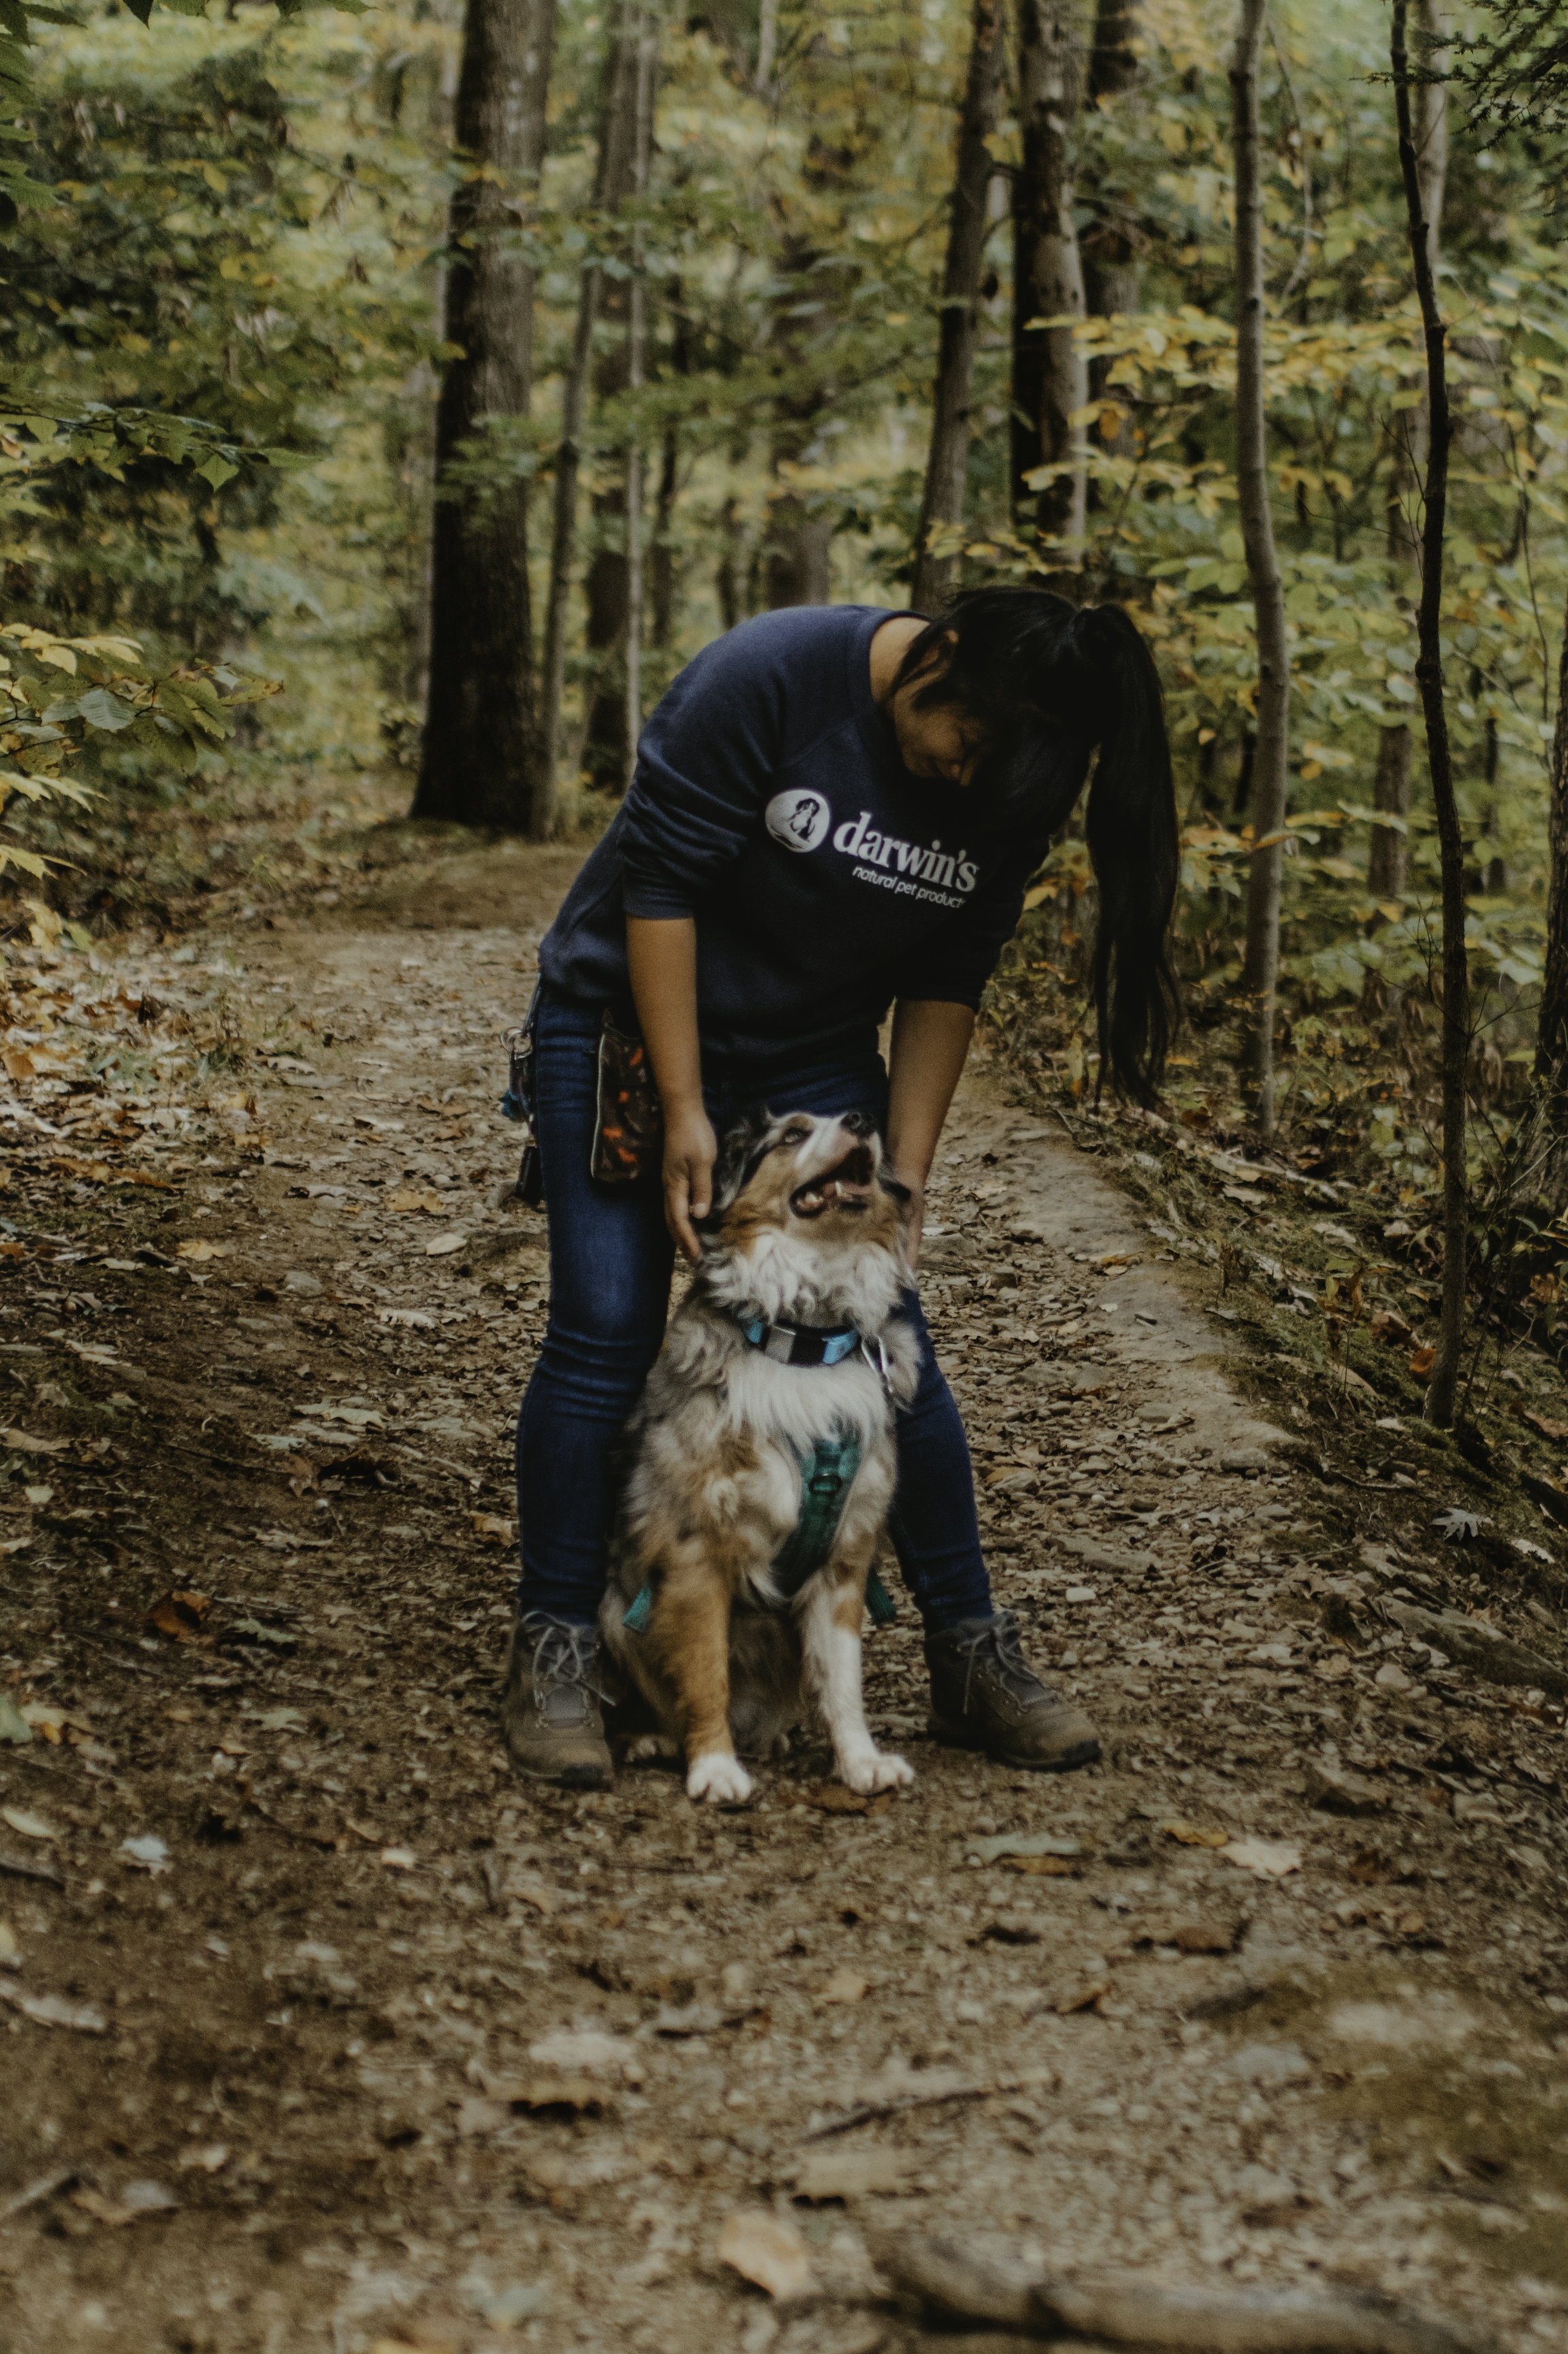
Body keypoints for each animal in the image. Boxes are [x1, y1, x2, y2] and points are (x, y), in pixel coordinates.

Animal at [595, 1111, 918, 1808]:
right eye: (792, 1135)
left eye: (850, 1119)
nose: (861, 1120)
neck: (804, 1343)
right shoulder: (694, 1554)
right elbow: (705, 1670)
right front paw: (715, 1768)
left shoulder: (844, 1560)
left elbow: (843, 1680)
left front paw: (860, 1762)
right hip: (612, 1610)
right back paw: (648, 1738)